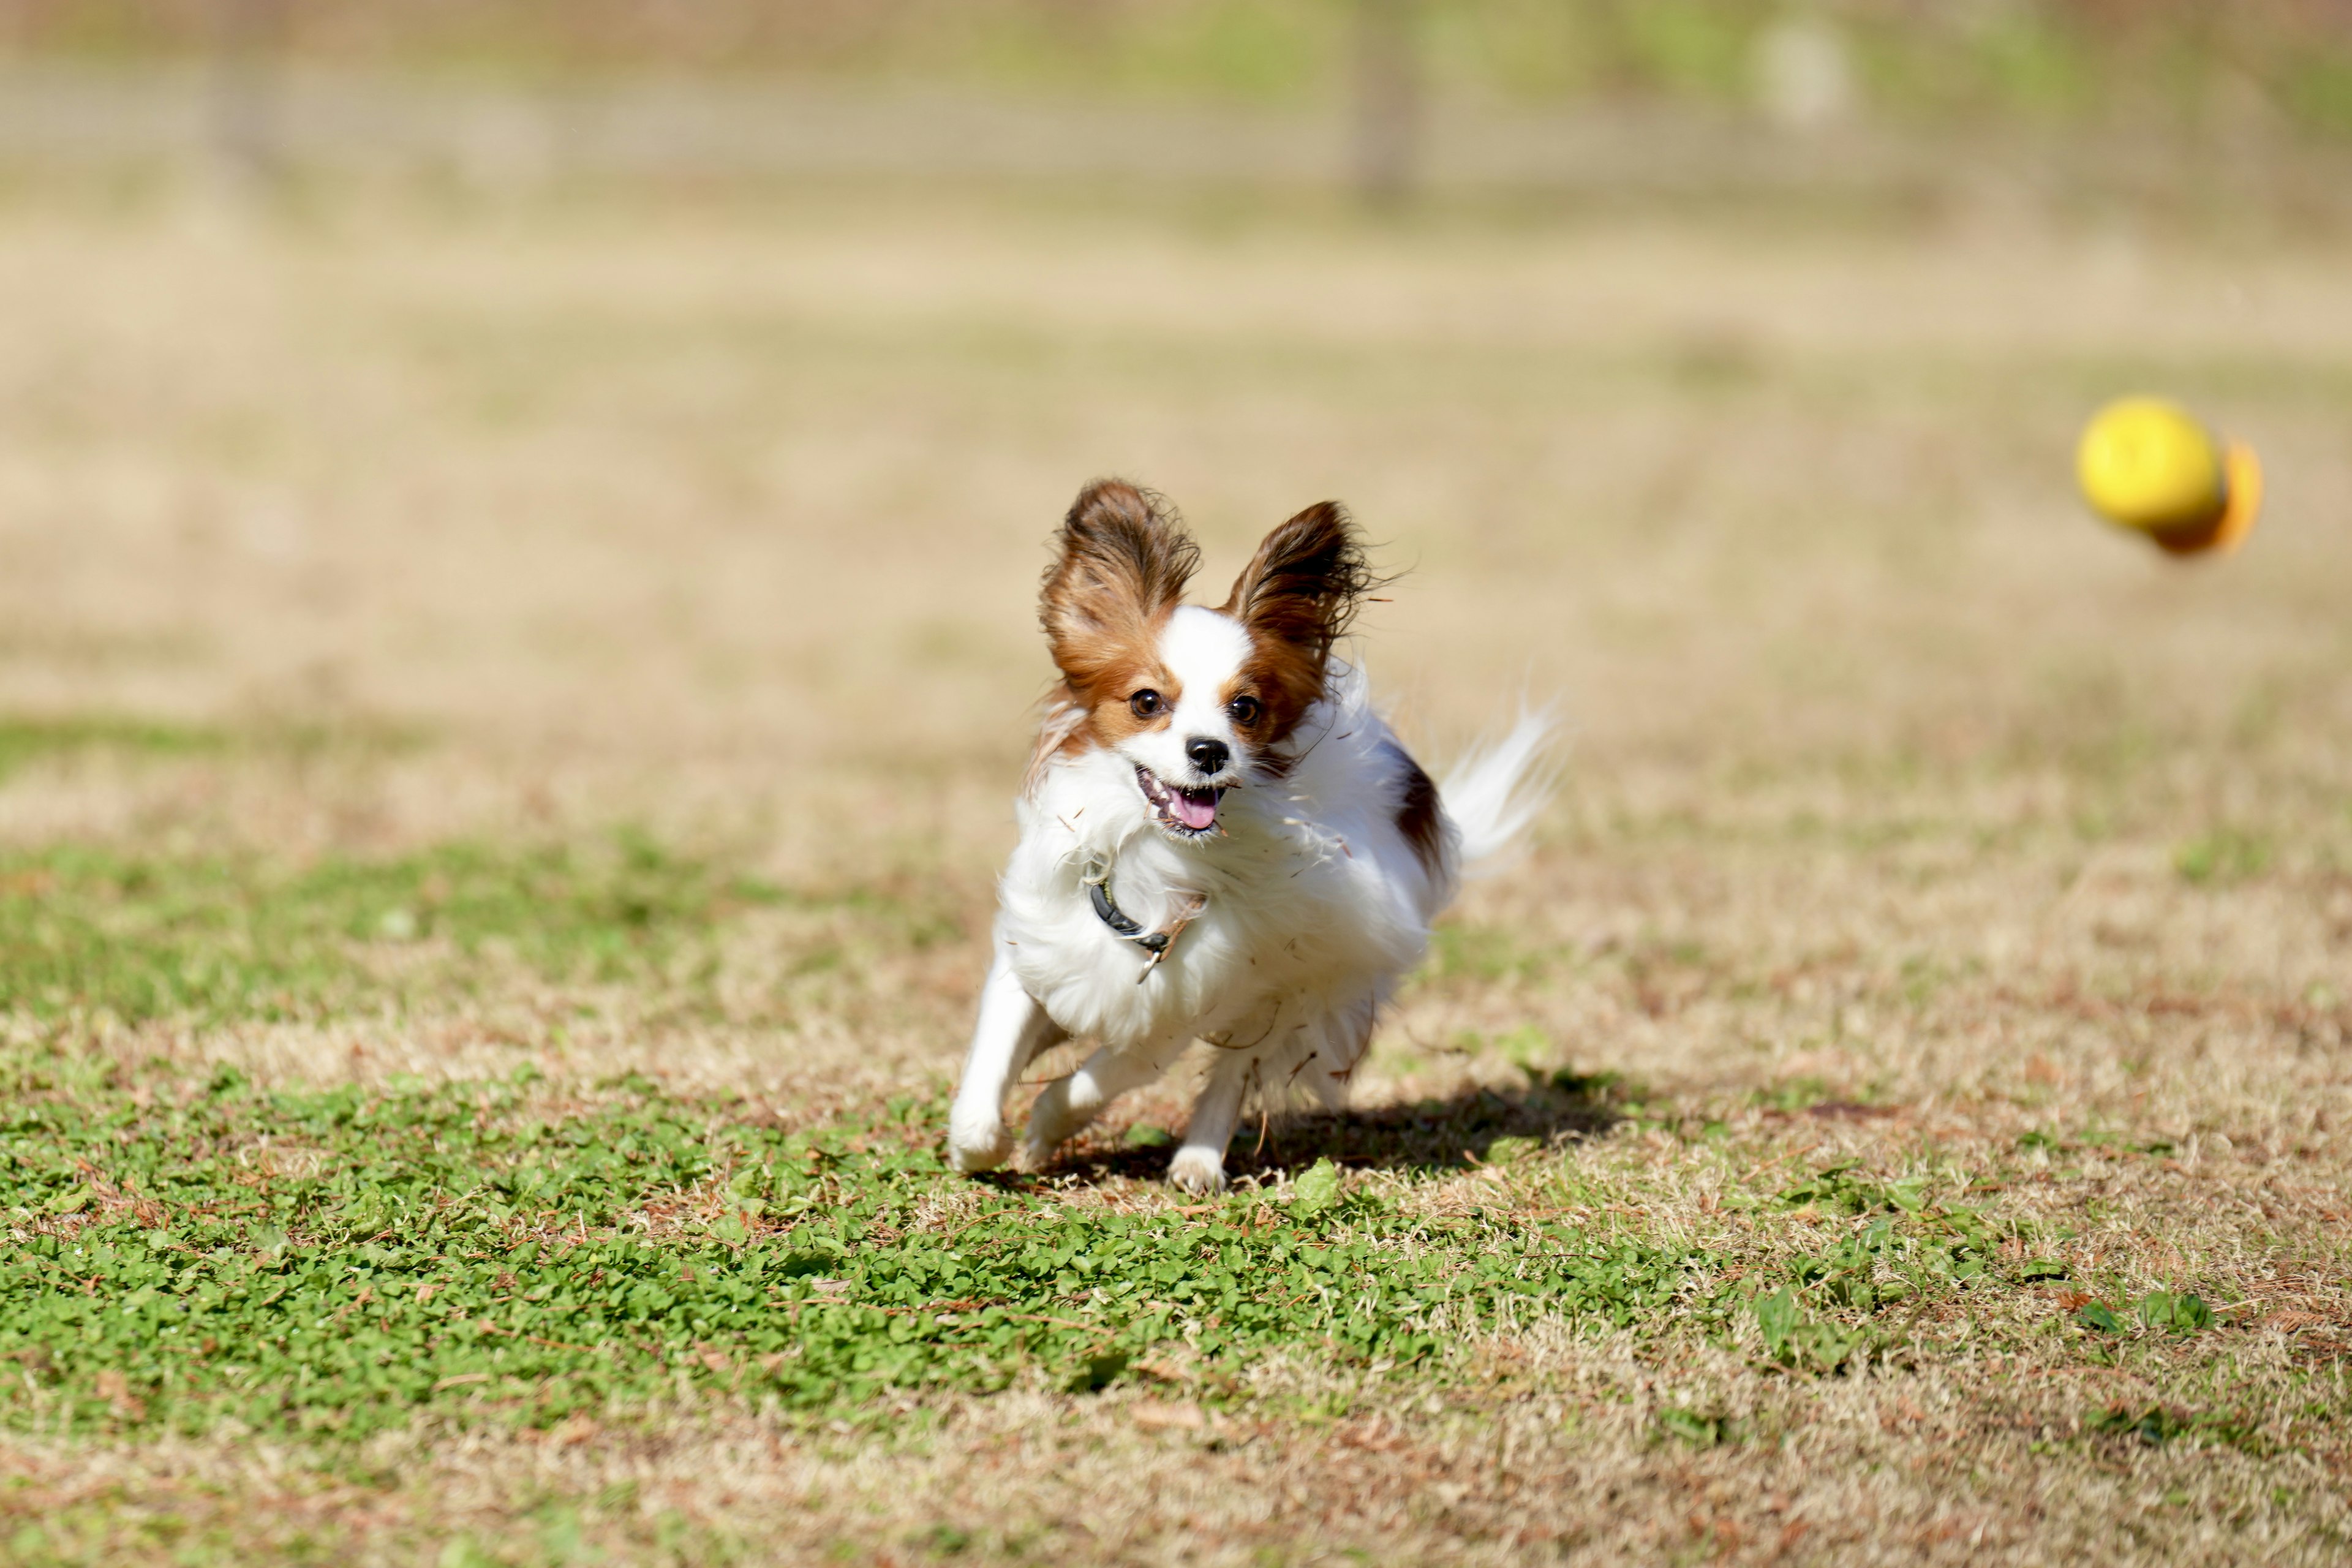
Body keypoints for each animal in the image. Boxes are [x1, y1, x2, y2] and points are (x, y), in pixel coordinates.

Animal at [945, 479, 1552, 1189]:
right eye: (1147, 701)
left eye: (1246, 709)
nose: (1209, 751)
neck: (1151, 860)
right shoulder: (1040, 952)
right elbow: (991, 1067)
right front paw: (978, 1144)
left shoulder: (1196, 1000)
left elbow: (1107, 1075)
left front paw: (1044, 1127)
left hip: (1293, 994)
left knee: (1231, 1077)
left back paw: (1198, 1162)